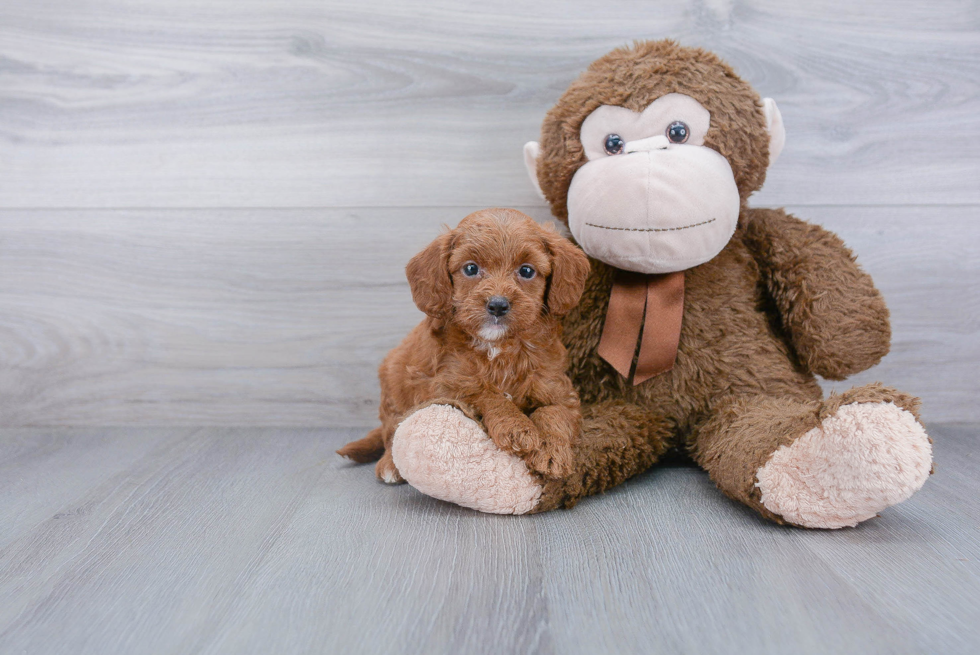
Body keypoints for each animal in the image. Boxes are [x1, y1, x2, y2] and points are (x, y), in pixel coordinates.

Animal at [340, 208, 588, 484]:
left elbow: (554, 413)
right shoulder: (447, 385)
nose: (498, 305)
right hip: (393, 383)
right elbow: (486, 394)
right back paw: (390, 465)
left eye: (526, 271)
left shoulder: (558, 387)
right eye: (471, 268)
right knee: (392, 430)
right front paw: (516, 427)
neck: (499, 348)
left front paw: (552, 451)